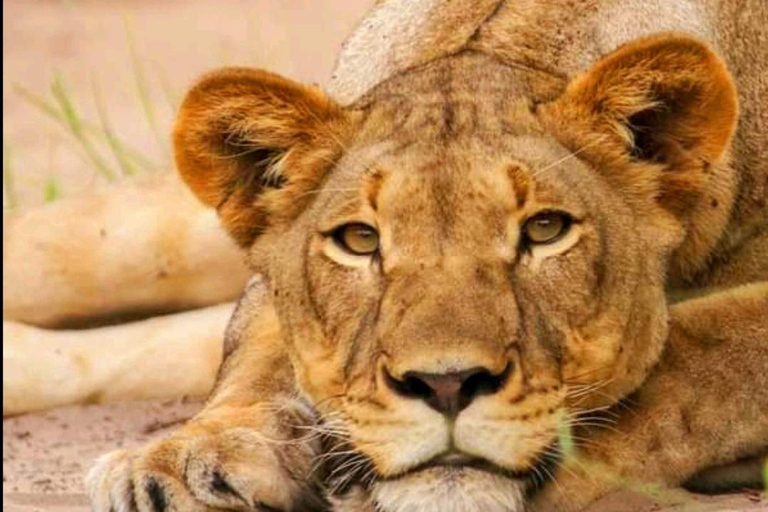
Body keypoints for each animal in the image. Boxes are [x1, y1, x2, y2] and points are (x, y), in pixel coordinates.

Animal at [87, 1, 768, 511]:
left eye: (545, 229)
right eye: (360, 241)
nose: (445, 384)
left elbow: (701, 351)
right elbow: (256, 350)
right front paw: (186, 462)